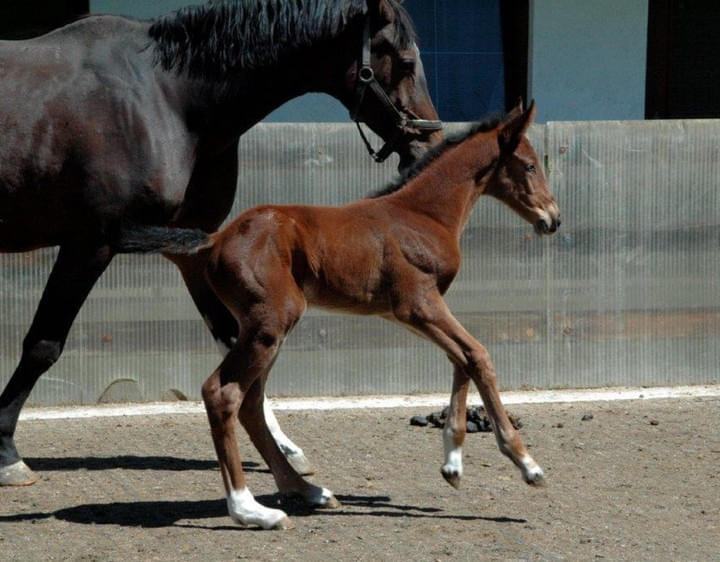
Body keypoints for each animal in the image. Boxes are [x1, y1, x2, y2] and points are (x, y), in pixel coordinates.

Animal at [200, 101, 560, 528]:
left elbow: (460, 359)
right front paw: (527, 464)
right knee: (223, 393)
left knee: (250, 402)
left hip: (263, 329)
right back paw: (249, 509)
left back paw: (310, 491)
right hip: (269, 325)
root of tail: (215, 243)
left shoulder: (409, 312)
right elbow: (477, 355)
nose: (553, 219)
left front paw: (453, 464)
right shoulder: (418, 302)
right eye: (530, 165)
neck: (422, 214)